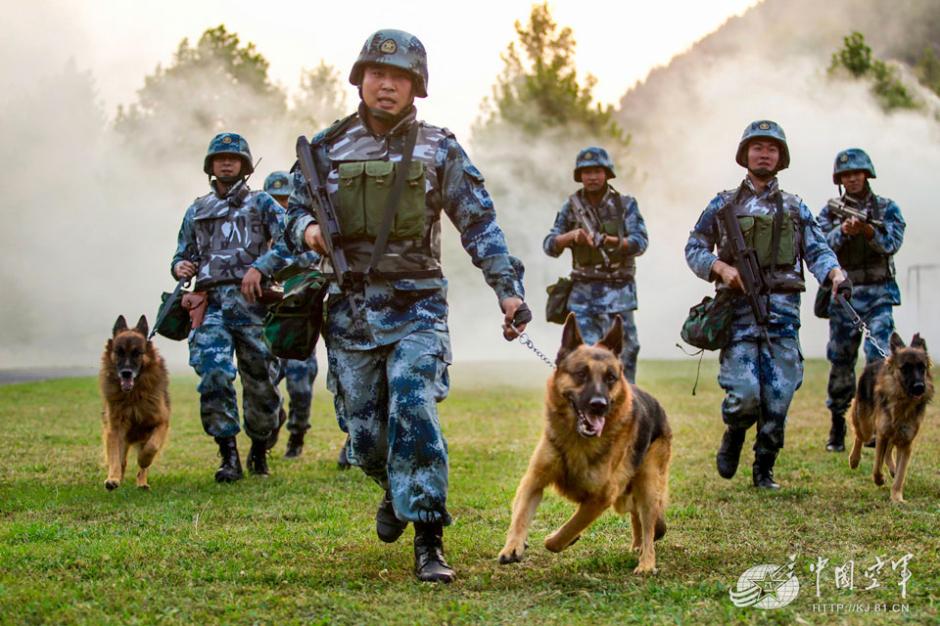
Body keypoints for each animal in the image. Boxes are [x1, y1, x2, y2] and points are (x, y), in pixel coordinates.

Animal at [99, 314, 173, 490]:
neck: (133, 396)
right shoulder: (115, 428)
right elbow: (114, 457)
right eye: (119, 352)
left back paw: (142, 483)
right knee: (122, 461)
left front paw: (143, 460)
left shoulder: (161, 422)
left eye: (137, 353)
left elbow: (150, 449)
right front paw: (113, 478)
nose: (126, 373)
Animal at [500, 314, 668, 572]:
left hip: (648, 482)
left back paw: (646, 562)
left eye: (610, 378)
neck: (576, 441)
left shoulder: (601, 497)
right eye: (581, 374)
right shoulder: (533, 481)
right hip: (628, 495)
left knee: (648, 524)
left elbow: (570, 527)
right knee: (636, 516)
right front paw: (513, 546)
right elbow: (520, 516)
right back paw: (637, 546)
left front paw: (560, 539)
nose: (599, 405)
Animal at [848, 332, 936, 502]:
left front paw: (897, 497)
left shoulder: (906, 441)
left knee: (889, 451)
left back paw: (892, 468)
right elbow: (877, 465)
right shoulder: (882, 434)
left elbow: (901, 474)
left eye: (921, 367)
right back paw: (854, 459)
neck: (903, 402)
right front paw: (879, 479)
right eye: (905, 368)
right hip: (865, 423)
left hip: (895, 434)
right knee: (860, 436)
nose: (919, 387)